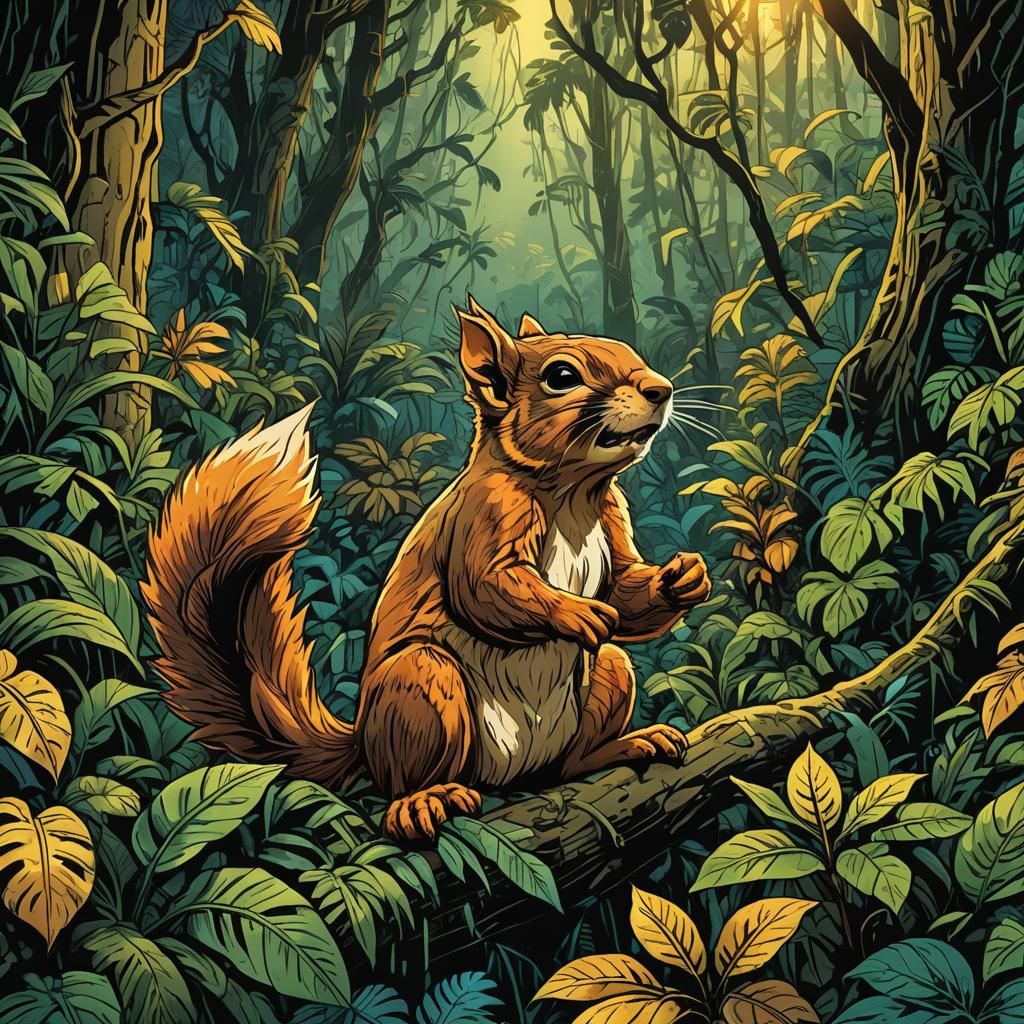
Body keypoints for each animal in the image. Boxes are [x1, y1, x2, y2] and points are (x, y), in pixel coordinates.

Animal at [143, 298, 712, 842]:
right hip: (421, 686)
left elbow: (624, 588)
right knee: (410, 775)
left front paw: (682, 580)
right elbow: (486, 588)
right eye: (562, 376)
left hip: (607, 674)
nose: (661, 390)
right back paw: (421, 802)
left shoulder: (612, 516)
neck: (572, 491)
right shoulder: (484, 514)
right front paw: (577, 613)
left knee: (567, 762)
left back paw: (628, 745)